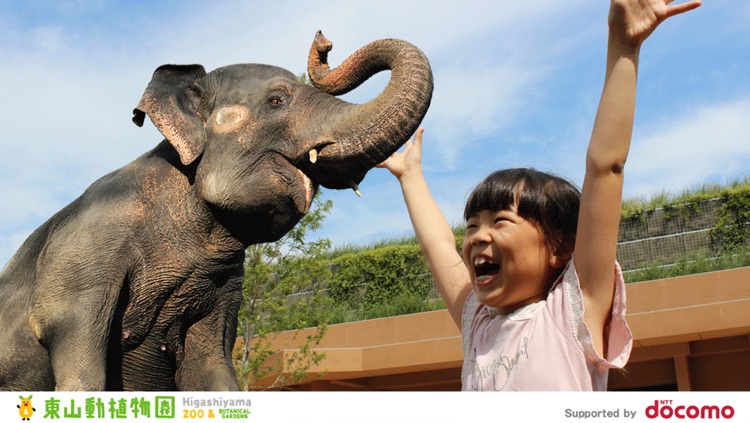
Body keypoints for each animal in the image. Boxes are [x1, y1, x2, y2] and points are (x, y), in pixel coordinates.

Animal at [0, 31, 434, 392]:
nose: (324, 42)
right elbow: (74, 352)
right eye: (277, 100)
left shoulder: (226, 281)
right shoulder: (88, 251)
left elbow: (211, 364)